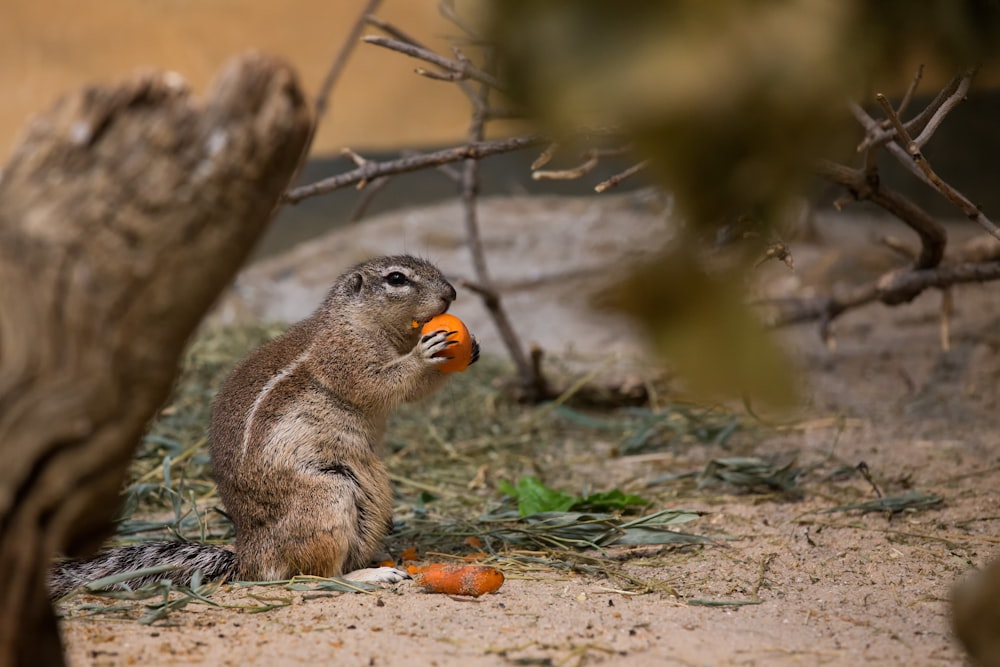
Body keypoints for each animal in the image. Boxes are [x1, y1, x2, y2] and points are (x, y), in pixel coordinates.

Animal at [48, 258, 478, 600]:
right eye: (396, 278)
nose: (452, 293)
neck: (352, 319)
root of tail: (249, 558)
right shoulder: (345, 356)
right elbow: (383, 382)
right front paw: (424, 354)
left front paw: (468, 350)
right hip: (327, 499)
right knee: (313, 575)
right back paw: (372, 575)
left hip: (367, 504)